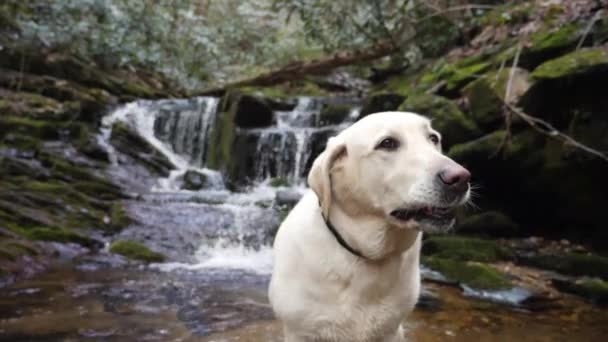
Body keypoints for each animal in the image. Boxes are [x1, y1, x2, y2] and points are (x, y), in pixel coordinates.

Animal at [268, 112, 472, 342]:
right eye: (387, 143)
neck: (367, 255)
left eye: (433, 138)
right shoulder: (300, 332)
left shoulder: (391, 330)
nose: (461, 178)